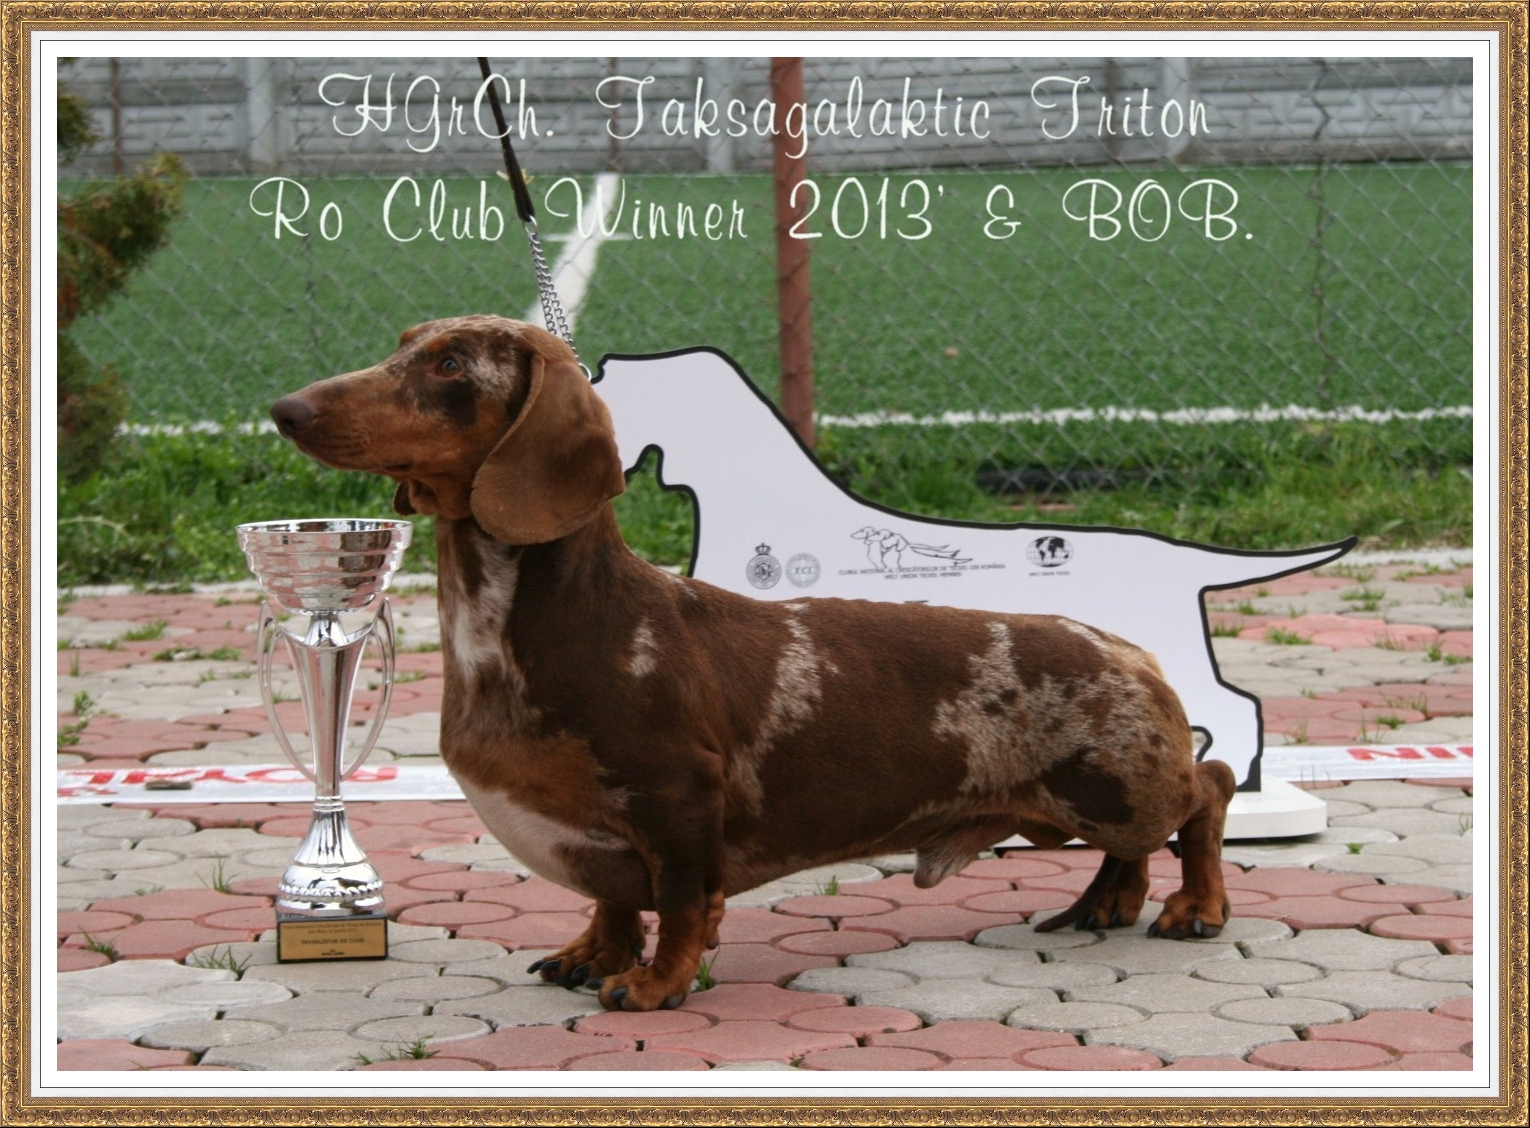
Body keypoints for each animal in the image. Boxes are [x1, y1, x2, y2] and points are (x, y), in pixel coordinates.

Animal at [271, 314, 1238, 1013]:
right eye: (402, 345)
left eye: (448, 366)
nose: (286, 409)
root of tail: (1128, 647)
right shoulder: (607, 832)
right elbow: (614, 901)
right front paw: (594, 952)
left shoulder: (676, 800)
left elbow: (682, 904)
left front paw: (653, 982)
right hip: (1094, 807)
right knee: (1140, 846)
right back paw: (1106, 902)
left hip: (1114, 787)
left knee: (1210, 788)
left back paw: (1196, 906)